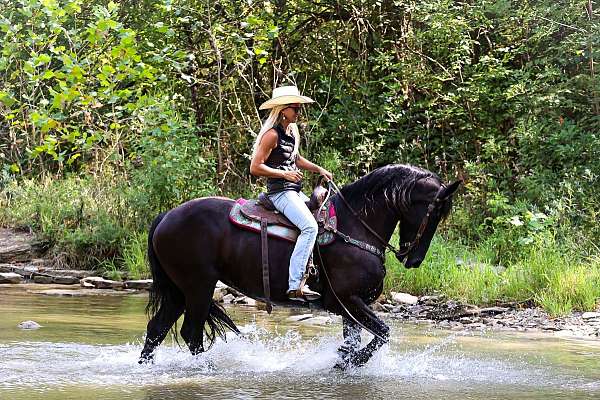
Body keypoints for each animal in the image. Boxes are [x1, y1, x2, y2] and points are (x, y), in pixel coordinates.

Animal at [139, 163, 460, 368]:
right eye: (434, 212)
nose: (413, 259)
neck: (354, 226)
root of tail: (166, 217)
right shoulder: (346, 300)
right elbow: (383, 333)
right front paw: (349, 361)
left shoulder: (352, 307)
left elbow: (358, 339)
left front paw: (345, 361)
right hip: (198, 288)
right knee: (190, 333)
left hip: (180, 291)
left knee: (157, 328)